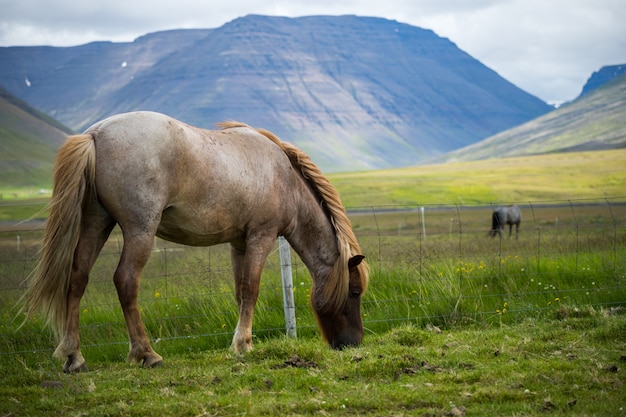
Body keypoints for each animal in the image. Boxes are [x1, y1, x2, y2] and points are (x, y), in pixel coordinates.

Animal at [22, 109, 368, 370]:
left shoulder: (239, 243)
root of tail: (95, 135)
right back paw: (147, 354)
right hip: (139, 230)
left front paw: (240, 341)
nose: (353, 344)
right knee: (126, 281)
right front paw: (243, 345)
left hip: (97, 223)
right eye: (354, 292)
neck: (285, 179)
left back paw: (74, 357)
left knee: (77, 278)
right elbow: (251, 289)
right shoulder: (262, 236)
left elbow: (241, 293)